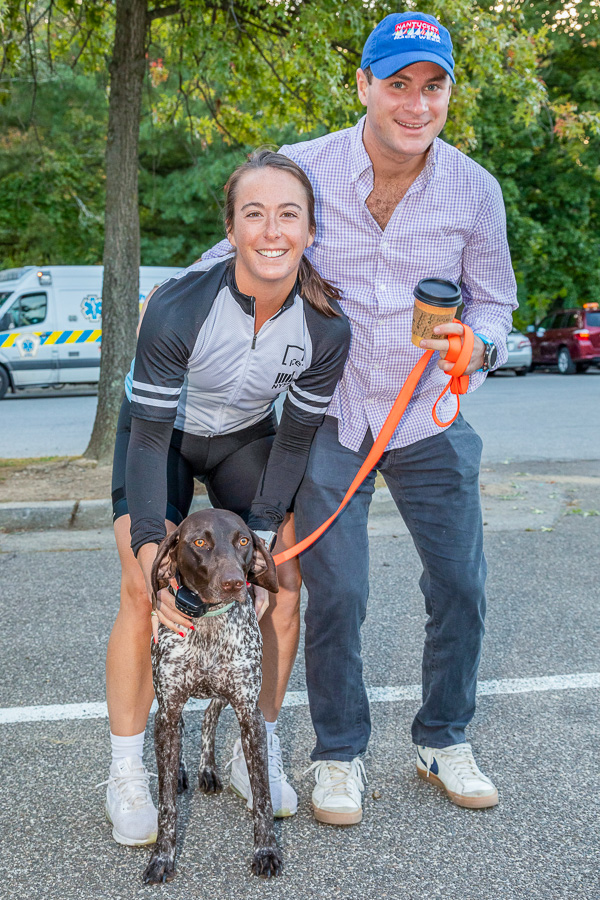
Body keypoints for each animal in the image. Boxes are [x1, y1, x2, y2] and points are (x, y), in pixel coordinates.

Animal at [142, 509, 283, 884]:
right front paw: (162, 857)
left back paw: (207, 768)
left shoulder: (249, 712)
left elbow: (263, 796)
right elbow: (166, 804)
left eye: (244, 540)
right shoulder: (168, 707)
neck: (208, 624)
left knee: (209, 715)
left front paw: (266, 851)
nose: (235, 582)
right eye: (200, 543)